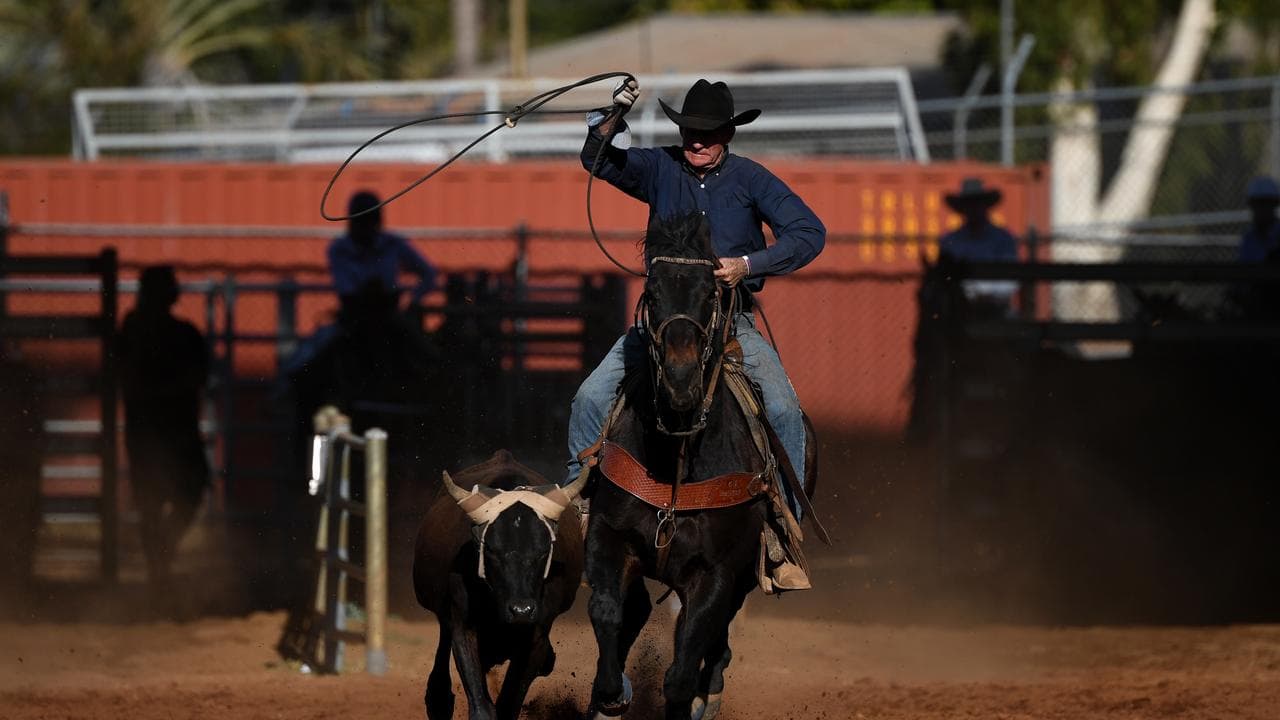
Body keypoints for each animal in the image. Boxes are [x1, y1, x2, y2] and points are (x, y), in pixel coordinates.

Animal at [412, 450, 586, 720]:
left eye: (543, 551)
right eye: (492, 551)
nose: (521, 610)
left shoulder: (536, 637)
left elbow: (509, 703)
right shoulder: (464, 628)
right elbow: (482, 706)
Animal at [580, 211, 818, 720]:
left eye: (710, 292)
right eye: (652, 293)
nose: (680, 377)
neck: (678, 454)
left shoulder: (717, 574)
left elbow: (682, 672)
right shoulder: (610, 537)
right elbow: (609, 612)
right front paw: (608, 695)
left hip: (745, 576)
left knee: (715, 644)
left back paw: (710, 696)